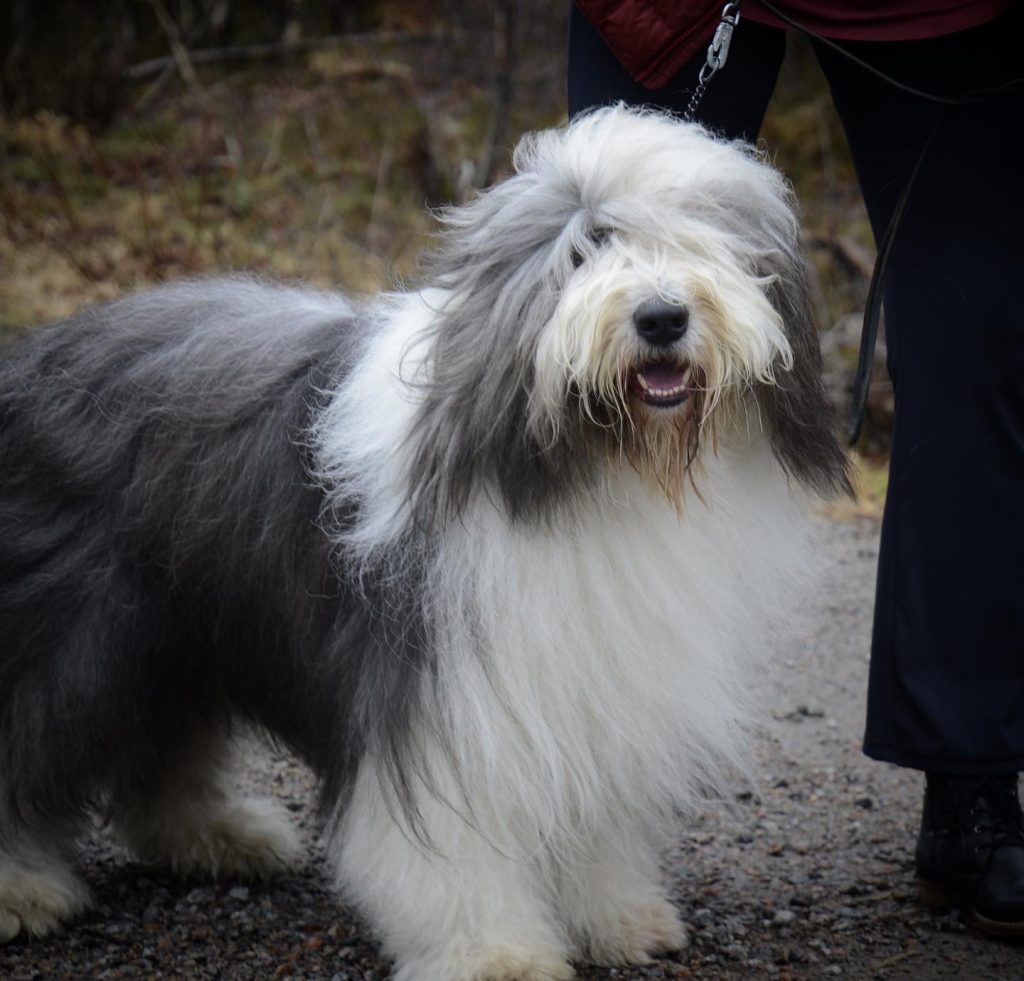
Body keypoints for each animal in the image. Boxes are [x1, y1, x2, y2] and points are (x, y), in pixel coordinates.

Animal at [0, 107, 847, 981]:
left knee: (163, 751)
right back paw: (22, 889)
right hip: (78, 634)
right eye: (584, 249)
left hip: (177, 626)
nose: (661, 317)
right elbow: (452, 841)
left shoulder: (590, 681)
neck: (592, 469)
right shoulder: (445, 694)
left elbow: (592, 816)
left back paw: (216, 836)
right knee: (31, 738)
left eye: (701, 243)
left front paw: (615, 915)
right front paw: (494, 952)